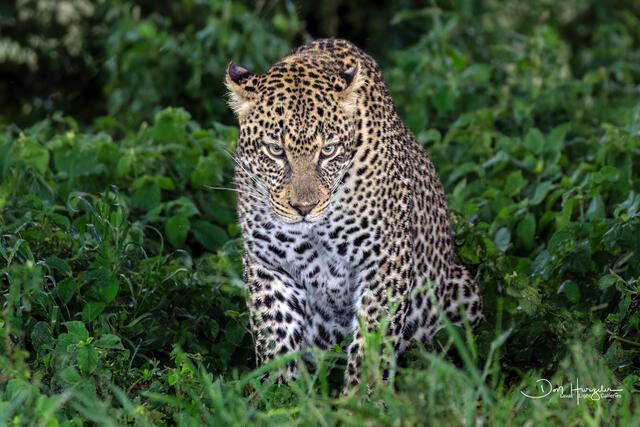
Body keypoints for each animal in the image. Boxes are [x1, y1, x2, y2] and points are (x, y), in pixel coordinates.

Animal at [225, 38, 483, 389]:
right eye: (275, 151)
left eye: (328, 150)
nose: (304, 208)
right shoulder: (269, 263)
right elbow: (275, 337)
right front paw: (279, 394)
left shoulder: (385, 260)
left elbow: (374, 340)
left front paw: (363, 395)